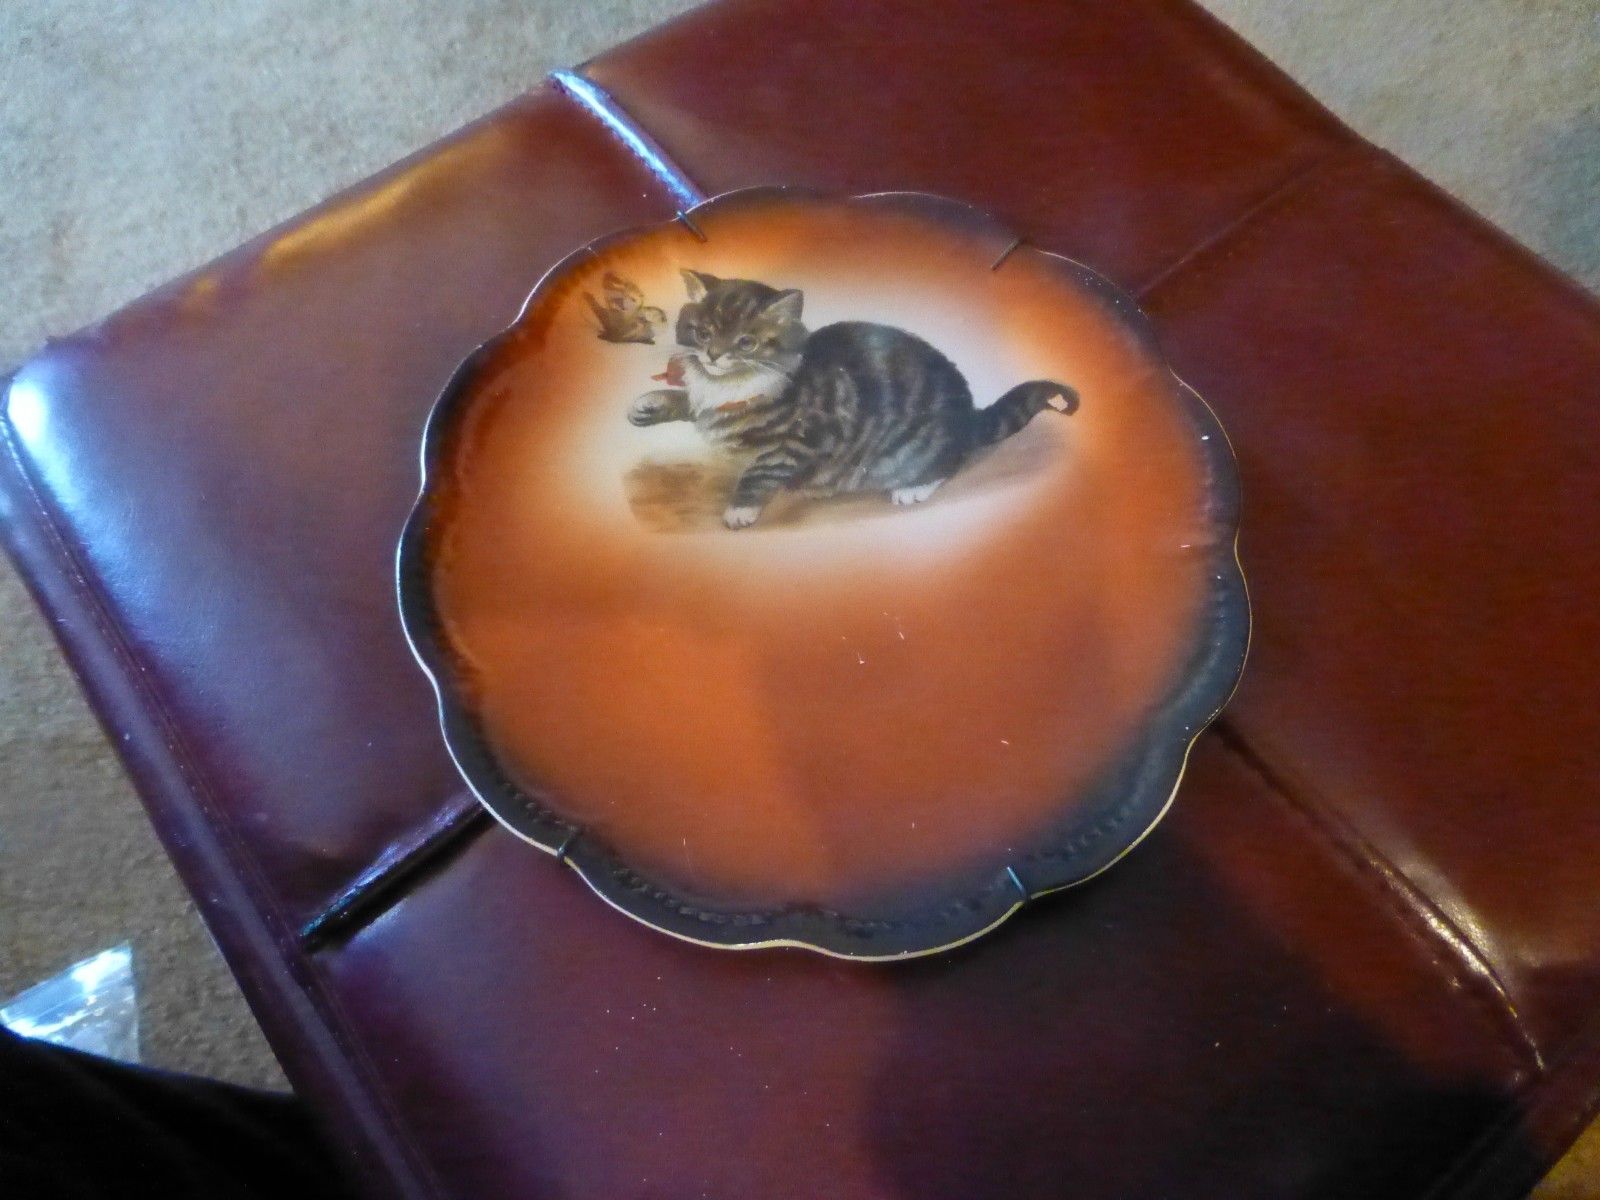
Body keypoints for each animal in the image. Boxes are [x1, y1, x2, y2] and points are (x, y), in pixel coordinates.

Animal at [628, 269, 1078, 529]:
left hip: (911, 450)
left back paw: (913, 487)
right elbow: (691, 402)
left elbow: (758, 471)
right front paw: (652, 404)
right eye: (702, 332)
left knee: (951, 461)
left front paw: (741, 508)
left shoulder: (805, 439)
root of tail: (968, 416)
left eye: (746, 342)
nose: (713, 355)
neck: (730, 387)